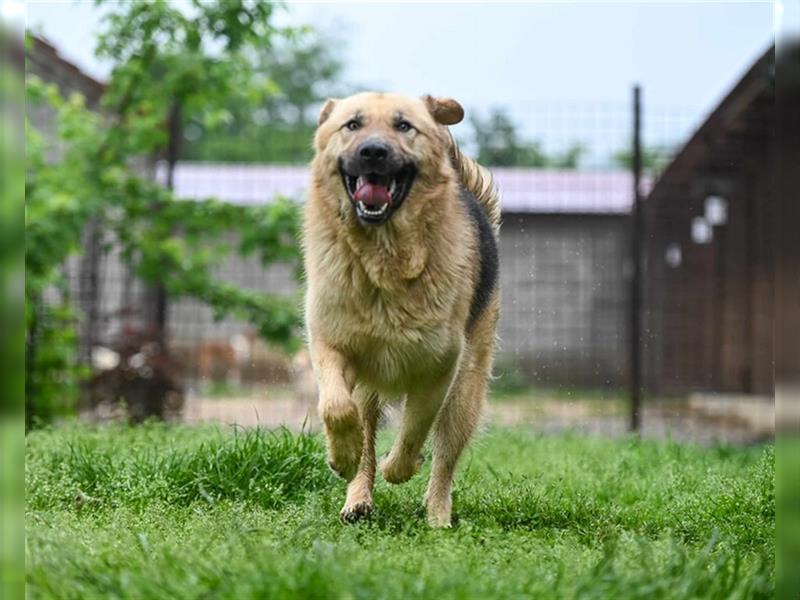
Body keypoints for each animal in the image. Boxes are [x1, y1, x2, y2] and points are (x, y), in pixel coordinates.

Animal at [302, 91, 500, 528]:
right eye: (352, 125)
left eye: (404, 126)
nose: (373, 152)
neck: (384, 259)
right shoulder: (331, 347)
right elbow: (336, 408)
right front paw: (341, 457)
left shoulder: (439, 368)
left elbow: (414, 428)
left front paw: (400, 468)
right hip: (368, 388)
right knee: (365, 436)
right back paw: (357, 498)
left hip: (465, 392)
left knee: (444, 458)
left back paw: (438, 516)